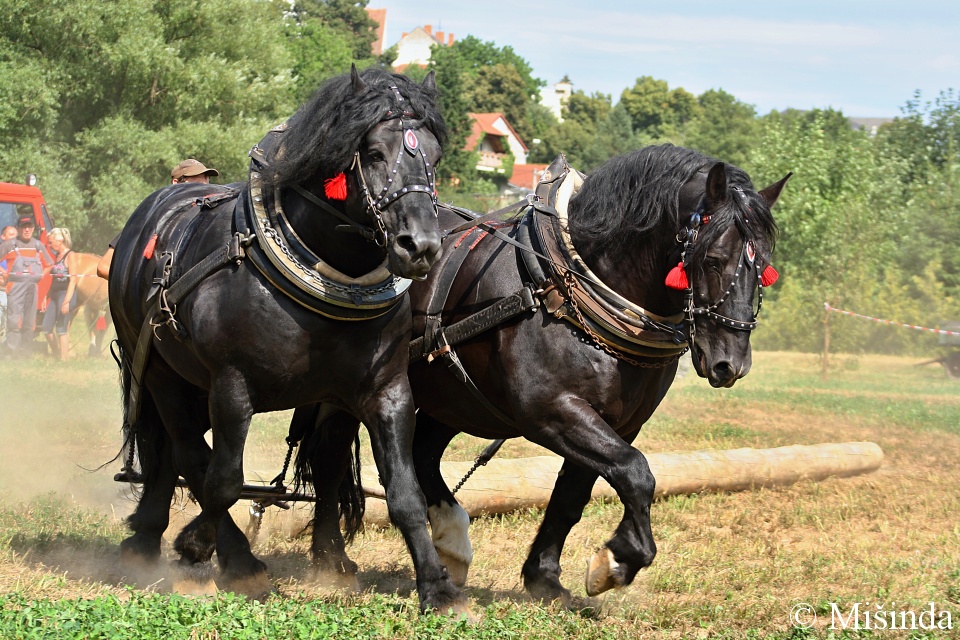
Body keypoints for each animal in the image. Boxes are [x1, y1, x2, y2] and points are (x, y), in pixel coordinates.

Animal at [111, 67, 468, 612]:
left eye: (434, 155)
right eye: (374, 153)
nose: (422, 247)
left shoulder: (384, 391)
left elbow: (404, 492)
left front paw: (436, 585)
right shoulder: (231, 386)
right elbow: (224, 481)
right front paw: (198, 545)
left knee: (173, 455)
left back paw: (148, 537)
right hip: (159, 371)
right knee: (188, 454)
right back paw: (230, 557)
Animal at [300, 145, 788, 604]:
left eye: (764, 267)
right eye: (714, 259)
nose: (730, 364)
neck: (563, 287)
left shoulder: (618, 423)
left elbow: (574, 496)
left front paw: (546, 578)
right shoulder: (550, 411)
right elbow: (636, 473)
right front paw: (618, 560)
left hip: (453, 396)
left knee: (422, 455)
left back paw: (452, 545)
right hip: (359, 391)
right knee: (330, 461)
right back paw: (332, 561)